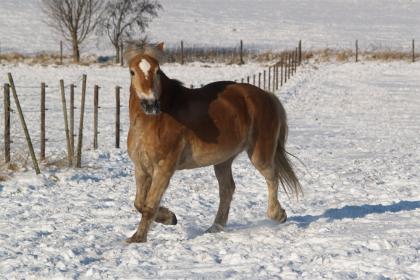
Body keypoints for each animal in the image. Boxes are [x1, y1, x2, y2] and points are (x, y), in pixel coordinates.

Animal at [123, 42, 300, 243]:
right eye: (132, 72)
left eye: (157, 71)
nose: (150, 104)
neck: (154, 120)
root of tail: (267, 96)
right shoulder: (141, 168)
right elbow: (139, 203)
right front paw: (169, 218)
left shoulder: (164, 168)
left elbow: (150, 204)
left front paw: (139, 238)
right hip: (223, 160)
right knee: (227, 189)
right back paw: (215, 227)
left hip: (259, 154)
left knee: (272, 177)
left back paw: (278, 215)